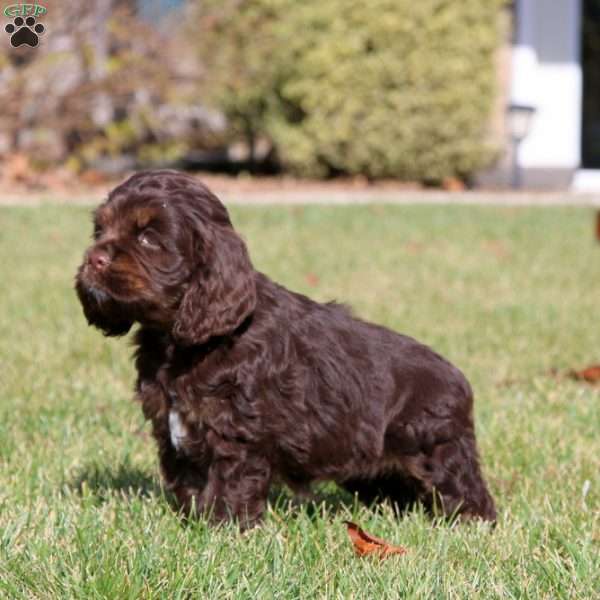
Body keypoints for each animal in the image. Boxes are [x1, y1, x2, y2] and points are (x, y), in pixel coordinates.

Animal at [75, 171, 496, 528]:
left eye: (148, 237)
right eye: (100, 229)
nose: (94, 258)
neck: (182, 341)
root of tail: (459, 379)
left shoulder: (237, 433)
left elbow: (230, 483)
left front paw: (223, 528)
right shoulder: (173, 431)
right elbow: (188, 482)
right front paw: (190, 522)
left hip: (438, 448)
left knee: (467, 493)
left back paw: (471, 524)